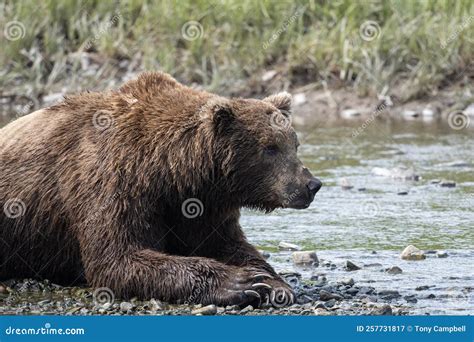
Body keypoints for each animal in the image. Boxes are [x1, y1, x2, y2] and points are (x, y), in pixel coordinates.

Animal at [0, 72, 322, 308]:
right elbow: (118, 257)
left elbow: (226, 244)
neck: (169, 171)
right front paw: (240, 283)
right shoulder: (110, 180)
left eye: (294, 144)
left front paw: (273, 284)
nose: (311, 185)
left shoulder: (200, 203)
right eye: (270, 148)